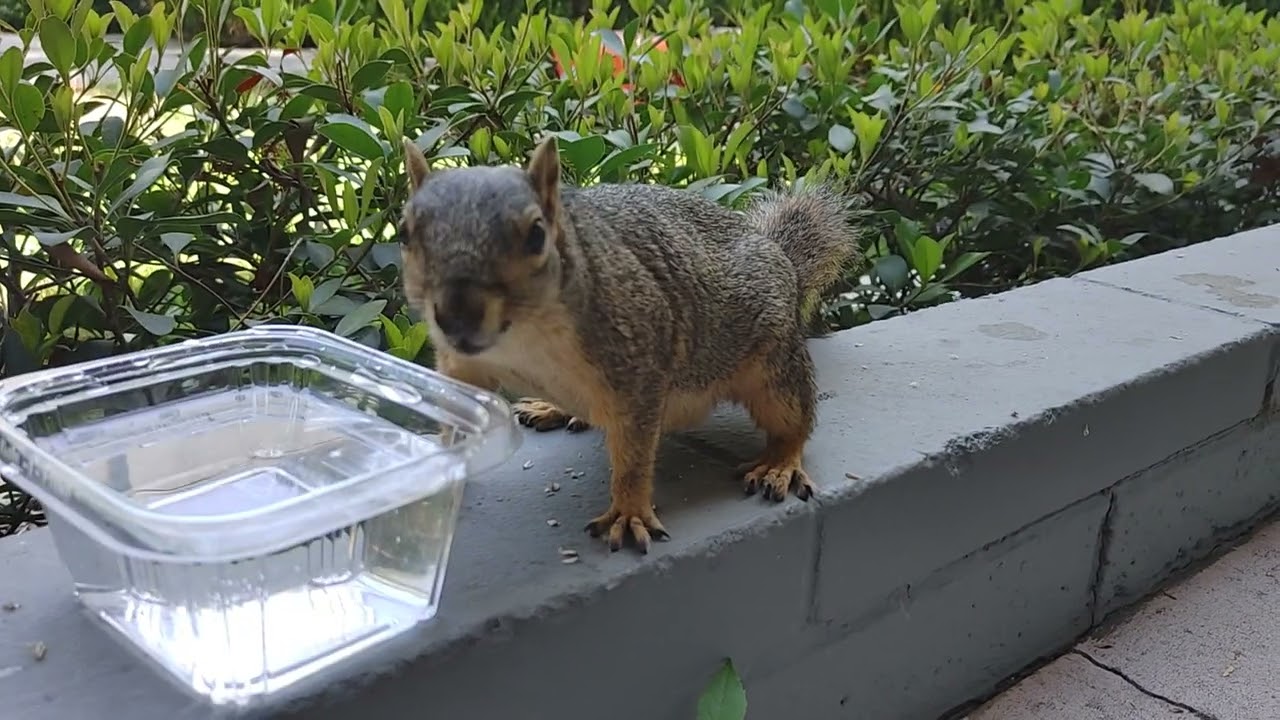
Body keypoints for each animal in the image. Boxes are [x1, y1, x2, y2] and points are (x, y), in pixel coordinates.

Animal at [397, 136, 864, 554]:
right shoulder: (461, 367)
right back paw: (554, 407)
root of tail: (783, 260)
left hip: (772, 363)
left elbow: (635, 457)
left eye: (536, 235)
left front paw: (629, 512)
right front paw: (432, 476)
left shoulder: (639, 355)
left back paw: (779, 462)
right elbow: (454, 414)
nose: (457, 315)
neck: (521, 341)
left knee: (793, 418)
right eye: (404, 233)